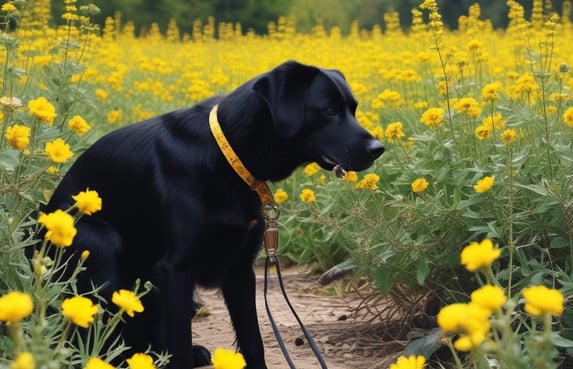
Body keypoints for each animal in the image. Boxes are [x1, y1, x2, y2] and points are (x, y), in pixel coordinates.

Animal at [41, 61, 384, 368]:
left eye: (353, 109)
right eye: (329, 111)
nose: (378, 148)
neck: (226, 155)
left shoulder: (241, 269)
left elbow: (253, 342)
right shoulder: (175, 270)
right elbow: (179, 346)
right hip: (98, 244)